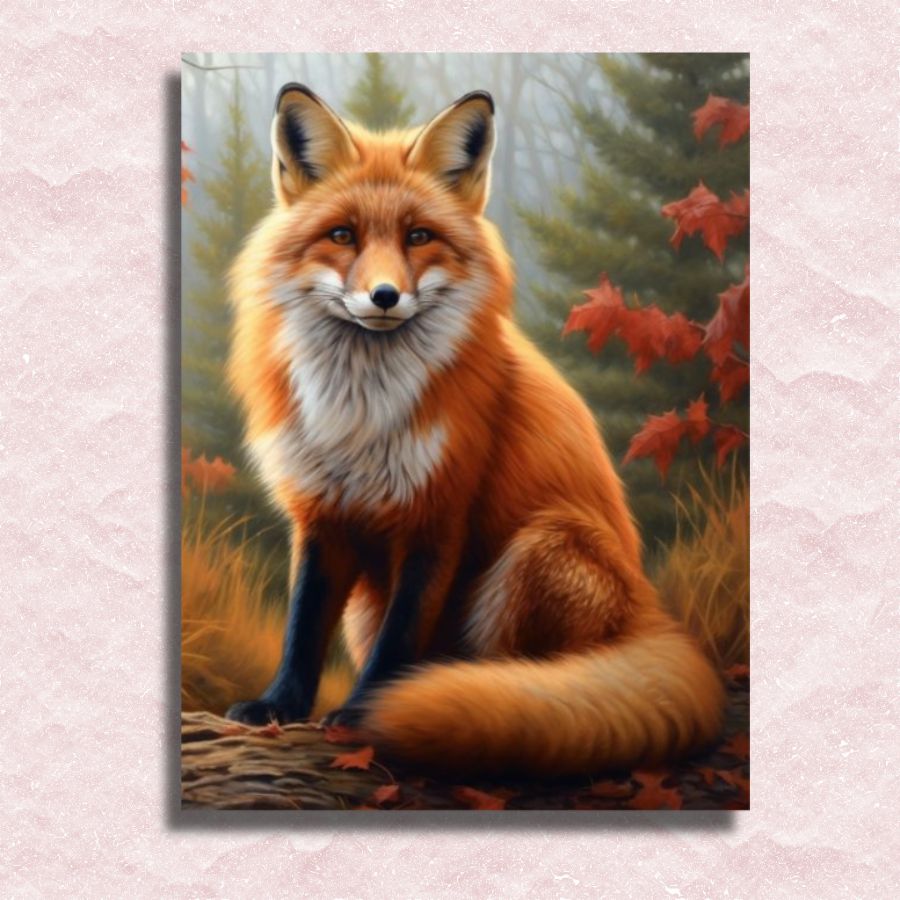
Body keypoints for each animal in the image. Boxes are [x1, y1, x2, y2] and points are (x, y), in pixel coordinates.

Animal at [224, 83, 725, 776]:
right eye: (342, 235)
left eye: (419, 236)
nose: (384, 296)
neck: (360, 417)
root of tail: (655, 616)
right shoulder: (323, 515)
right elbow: (302, 625)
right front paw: (279, 705)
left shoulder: (439, 516)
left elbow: (398, 641)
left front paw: (364, 714)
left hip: (541, 546)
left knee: (528, 682)